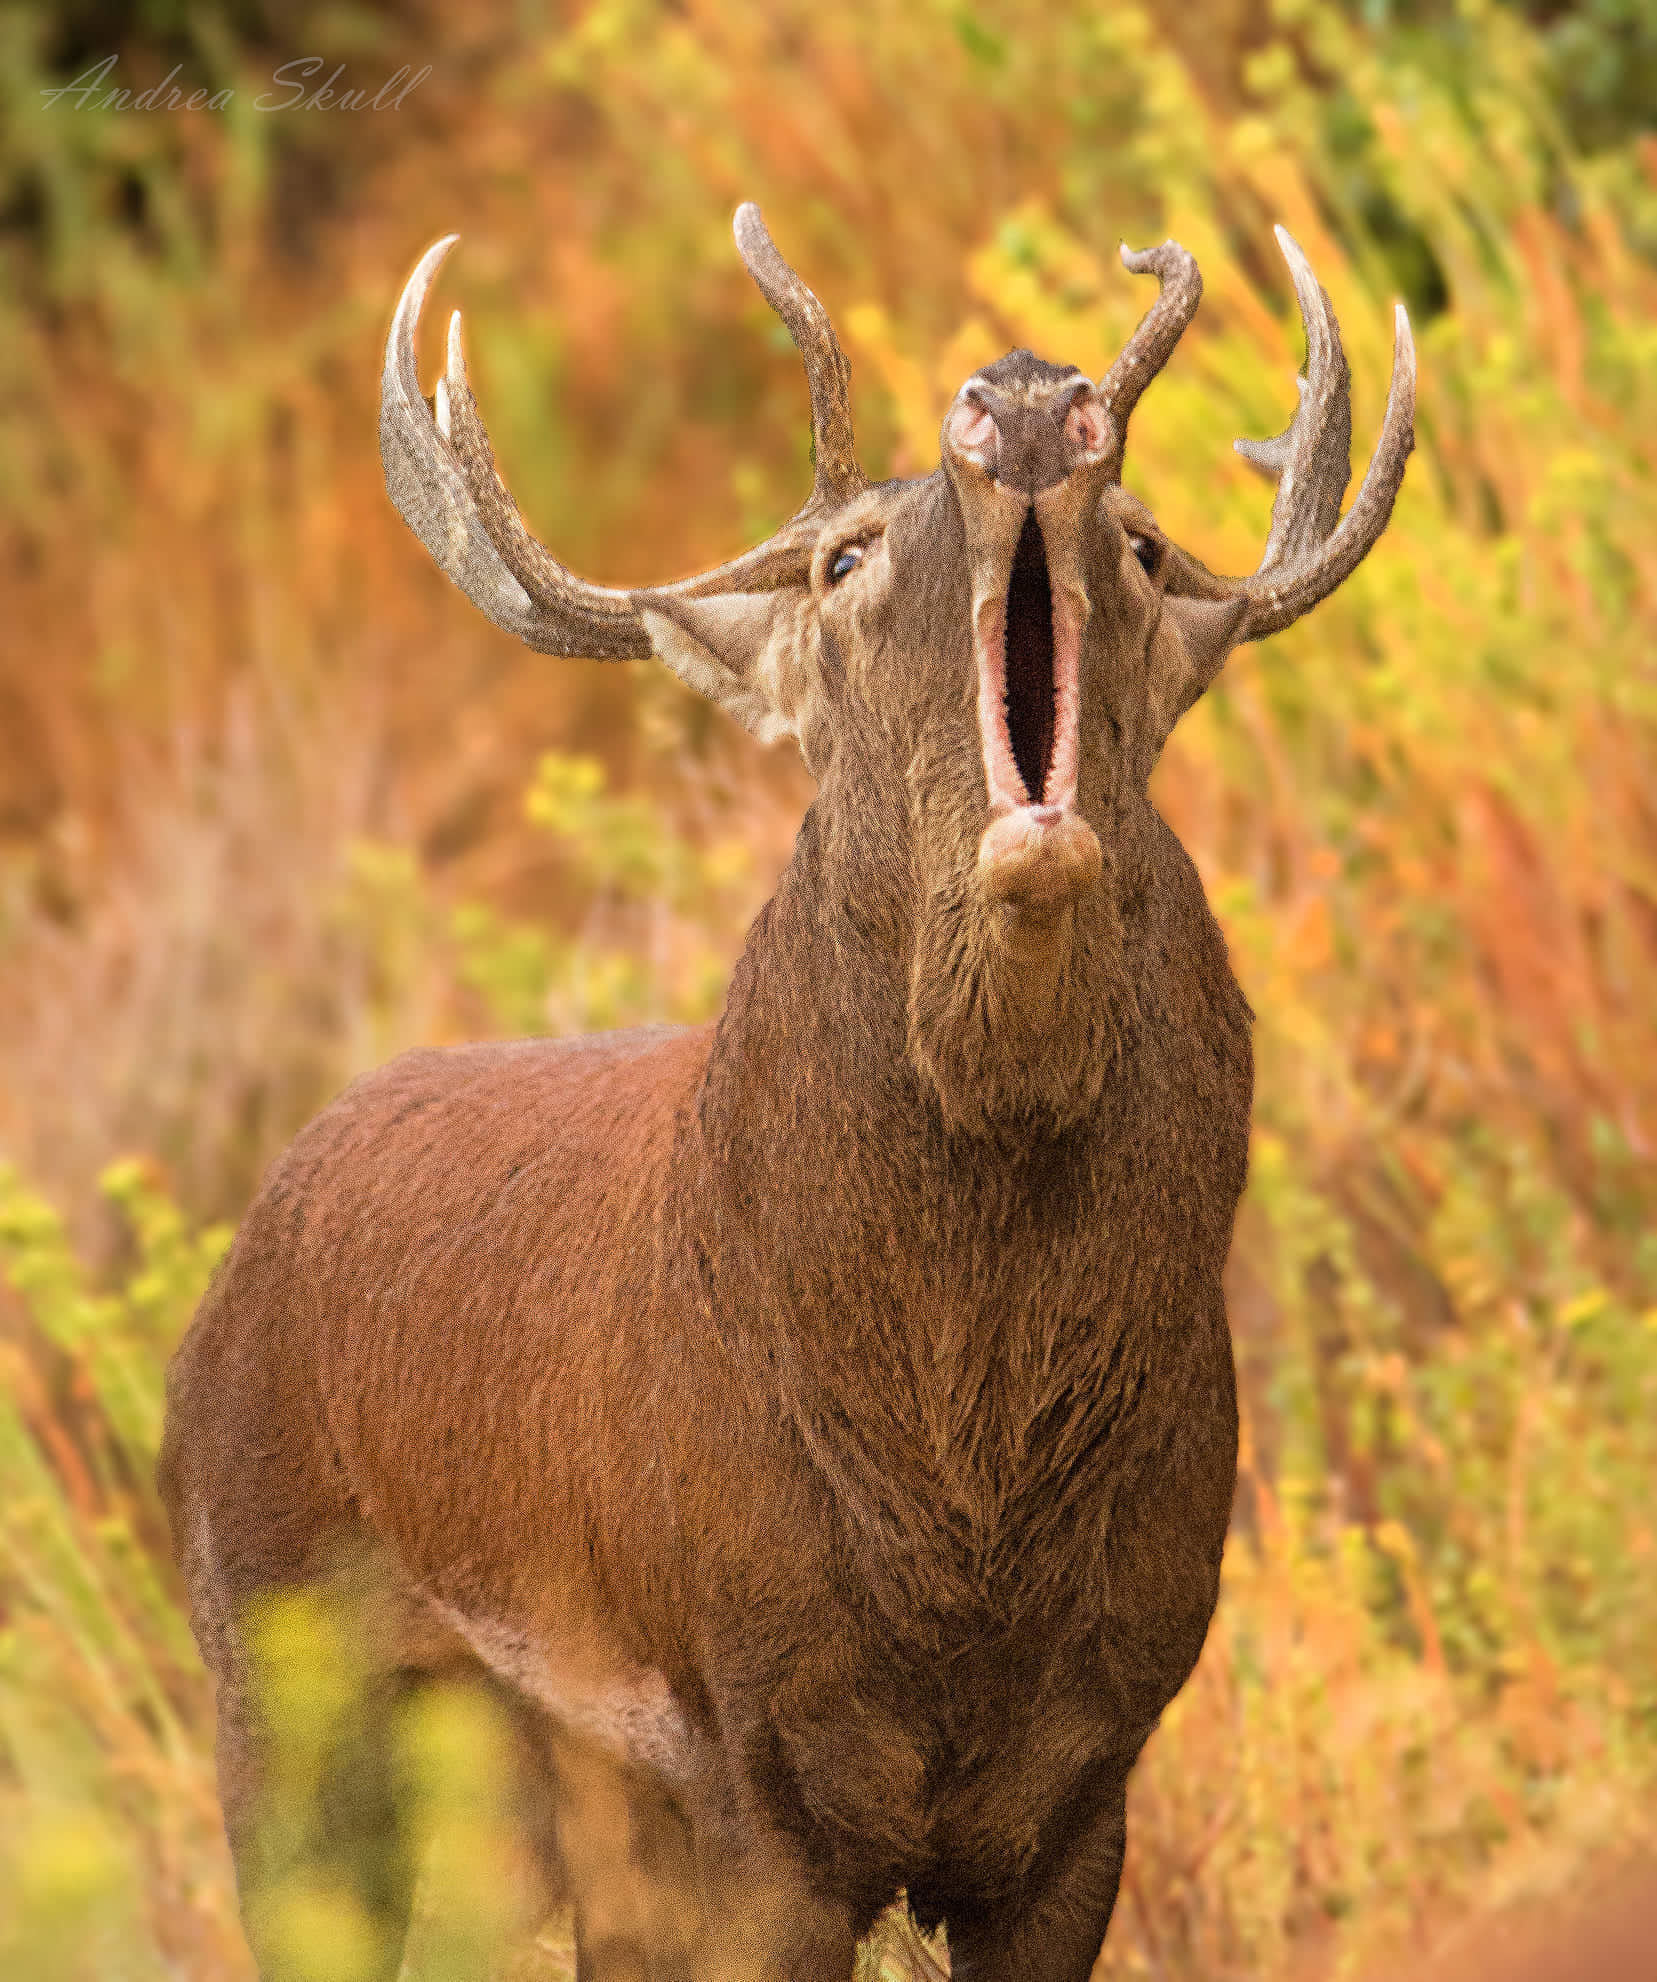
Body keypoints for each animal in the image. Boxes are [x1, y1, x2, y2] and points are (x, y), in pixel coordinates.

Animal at [159, 204, 1413, 1981]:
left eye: (1151, 544)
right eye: (839, 559)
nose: (1024, 394)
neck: (967, 1527)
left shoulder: (1096, 1768)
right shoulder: (748, 1751)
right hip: (273, 1673)